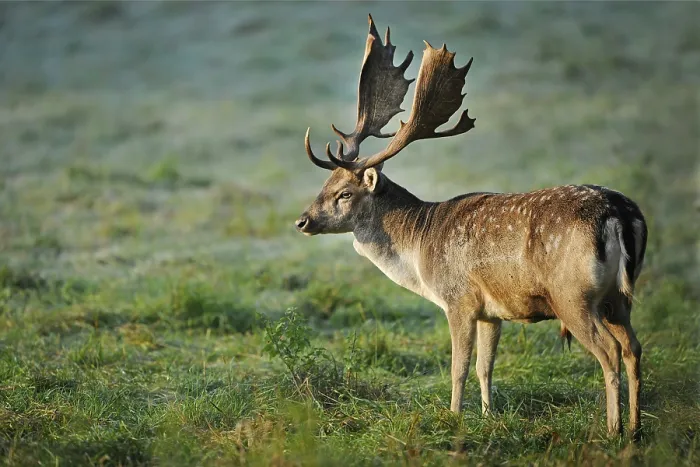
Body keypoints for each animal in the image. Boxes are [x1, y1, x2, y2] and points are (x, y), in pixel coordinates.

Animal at [294, 15, 647, 437]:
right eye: (325, 184)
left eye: (344, 193)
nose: (303, 220)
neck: (419, 247)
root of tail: (619, 214)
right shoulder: (492, 311)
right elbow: (485, 367)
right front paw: (488, 416)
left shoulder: (458, 298)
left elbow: (458, 367)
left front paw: (454, 417)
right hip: (617, 297)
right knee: (634, 348)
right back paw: (636, 426)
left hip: (572, 294)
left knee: (610, 351)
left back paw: (612, 430)